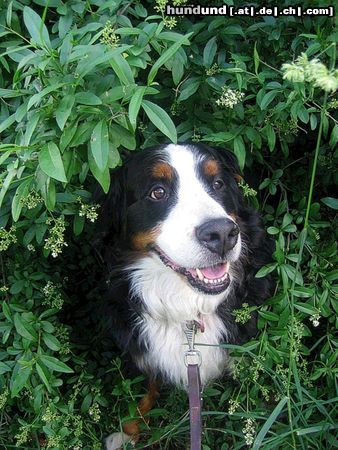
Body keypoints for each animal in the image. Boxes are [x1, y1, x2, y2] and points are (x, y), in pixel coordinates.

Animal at [97, 142, 272, 448]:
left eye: (218, 184)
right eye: (158, 192)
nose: (222, 233)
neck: (189, 309)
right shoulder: (138, 346)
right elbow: (143, 387)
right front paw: (128, 430)